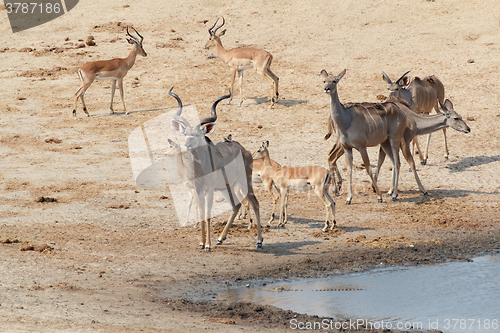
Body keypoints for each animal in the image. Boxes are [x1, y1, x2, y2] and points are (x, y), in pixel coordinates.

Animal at [169, 87, 264, 250]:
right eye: (185, 134)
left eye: (197, 134)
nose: (187, 144)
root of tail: (245, 151)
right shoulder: (198, 189)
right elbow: (202, 213)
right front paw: (201, 243)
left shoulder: (210, 189)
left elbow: (208, 214)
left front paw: (207, 245)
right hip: (227, 188)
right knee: (236, 205)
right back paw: (220, 238)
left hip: (243, 183)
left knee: (255, 203)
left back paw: (259, 241)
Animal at [322, 68, 408, 202]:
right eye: (324, 80)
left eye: (335, 80)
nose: (326, 88)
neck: (346, 119)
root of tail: (401, 112)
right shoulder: (347, 148)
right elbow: (350, 170)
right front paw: (349, 199)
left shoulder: (362, 147)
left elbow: (368, 168)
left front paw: (379, 196)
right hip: (385, 142)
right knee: (394, 162)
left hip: (394, 139)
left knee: (397, 162)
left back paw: (394, 194)